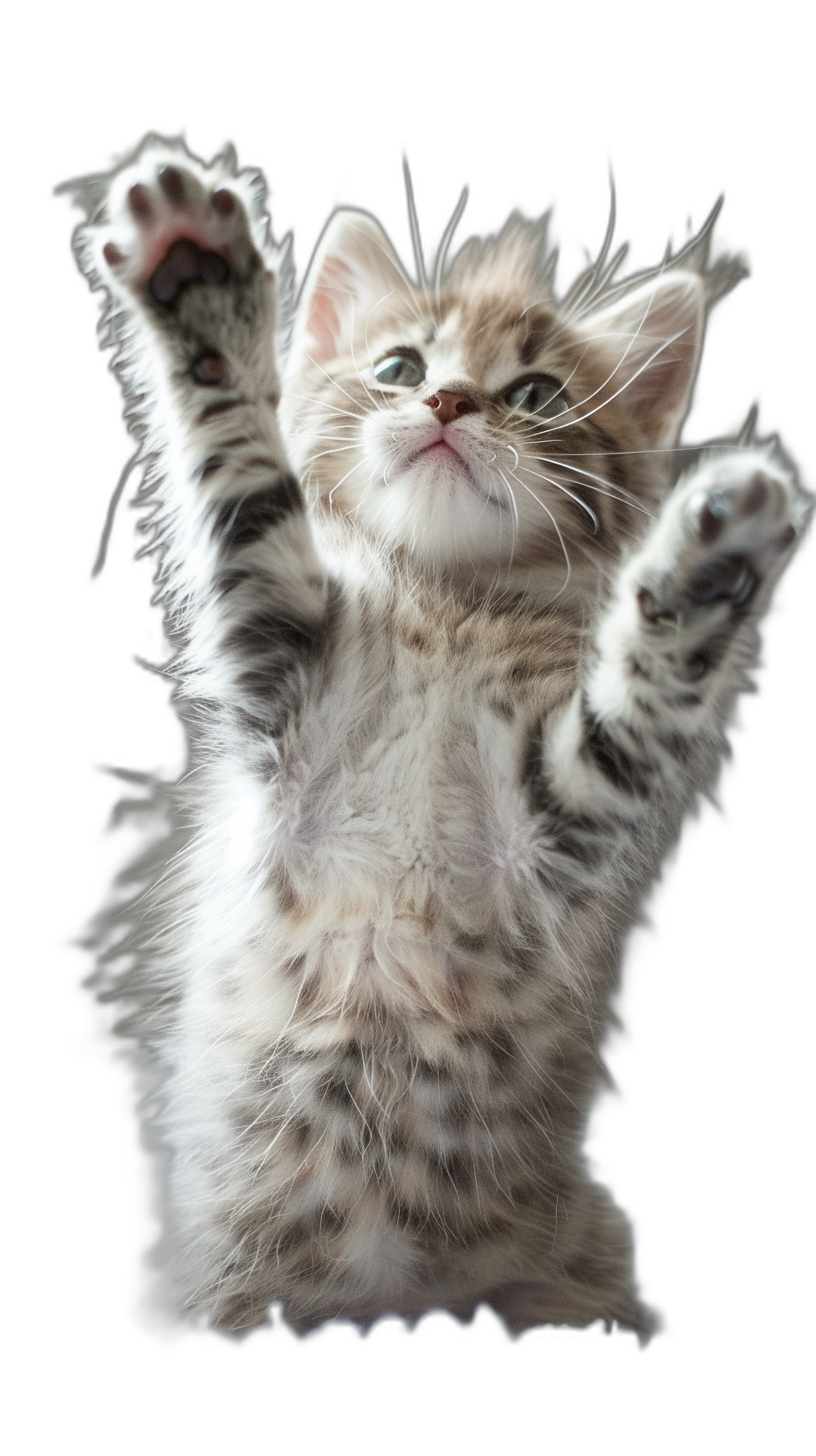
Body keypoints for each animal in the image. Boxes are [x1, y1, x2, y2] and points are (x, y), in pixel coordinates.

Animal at [71, 139, 810, 1339]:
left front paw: (713, 559)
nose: (453, 402)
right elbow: (246, 477)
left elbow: (643, 687)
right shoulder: (270, 652)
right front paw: (197, 272)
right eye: (398, 367)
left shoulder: (566, 819)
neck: (446, 606)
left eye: (536, 394)